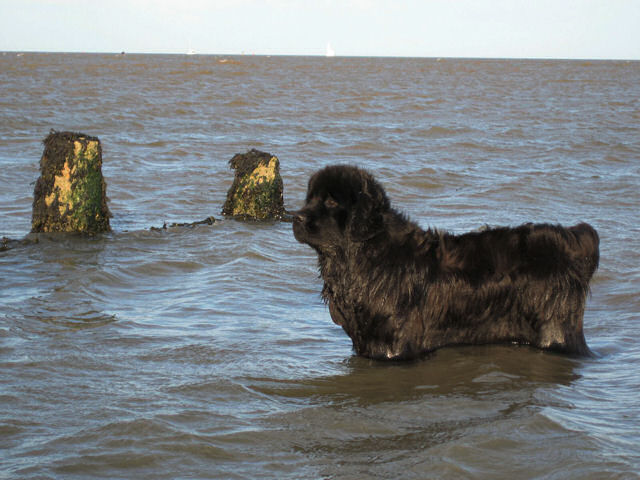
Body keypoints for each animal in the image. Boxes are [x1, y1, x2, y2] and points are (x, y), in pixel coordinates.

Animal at [292, 165, 596, 360]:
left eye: (332, 202)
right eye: (310, 198)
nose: (297, 217)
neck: (364, 256)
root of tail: (572, 240)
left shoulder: (394, 343)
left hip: (555, 326)